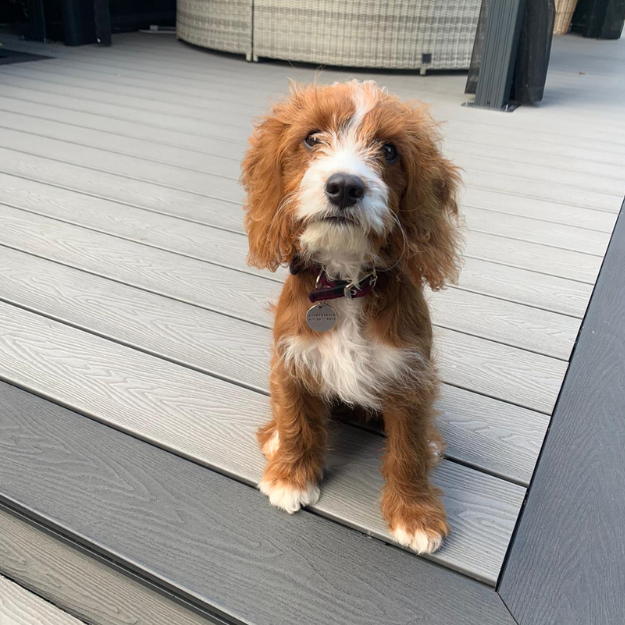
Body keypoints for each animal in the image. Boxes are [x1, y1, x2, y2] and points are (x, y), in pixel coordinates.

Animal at [241, 80, 460, 552]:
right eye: (312, 138)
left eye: (390, 150)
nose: (344, 186)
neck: (345, 283)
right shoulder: (291, 357)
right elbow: (297, 419)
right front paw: (290, 477)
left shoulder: (411, 375)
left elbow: (408, 450)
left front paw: (415, 514)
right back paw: (274, 438)